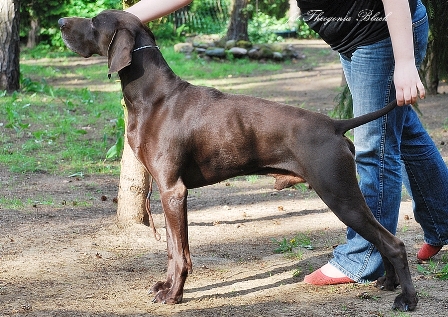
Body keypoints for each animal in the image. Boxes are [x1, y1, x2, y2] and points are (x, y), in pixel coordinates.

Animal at [58, 10, 416, 312]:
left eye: (94, 21)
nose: (61, 22)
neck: (152, 96)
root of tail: (334, 124)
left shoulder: (173, 191)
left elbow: (180, 254)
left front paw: (174, 295)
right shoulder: (167, 192)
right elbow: (173, 249)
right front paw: (166, 287)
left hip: (338, 193)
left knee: (394, 242)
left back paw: (407, 300)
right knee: (384, 237)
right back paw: (388, 283)